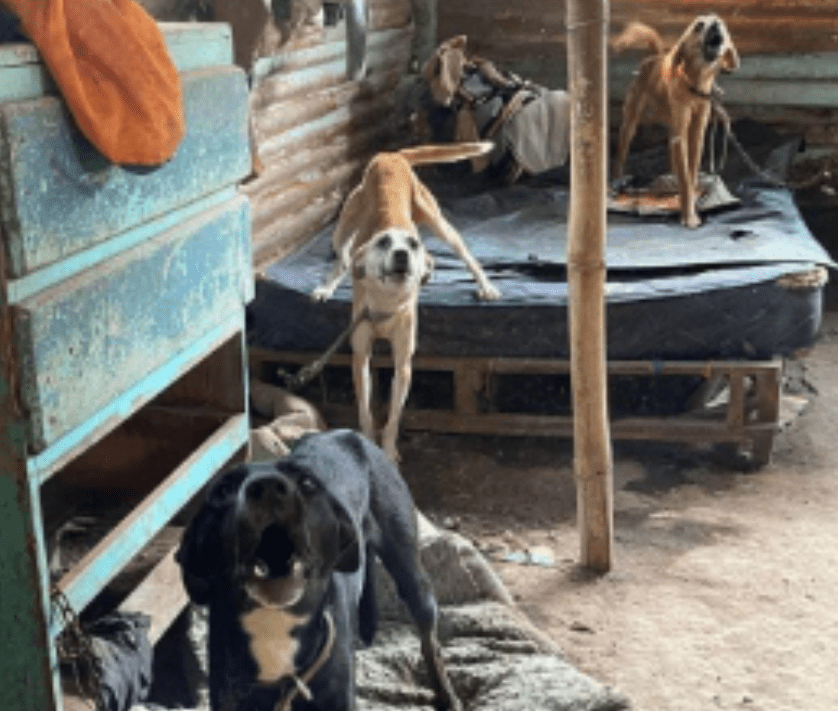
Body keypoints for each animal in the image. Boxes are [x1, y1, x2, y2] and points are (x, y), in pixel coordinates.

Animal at [612, 15, 740, 227]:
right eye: (699, 25)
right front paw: (689, 217)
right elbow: (686, 180)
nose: (715, 24)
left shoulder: (696, 136)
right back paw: (616, 182)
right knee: (620, 157)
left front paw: (691, 203)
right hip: (629, 125)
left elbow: (691, 174)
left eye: (720, 22)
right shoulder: (681, 137)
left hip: (672, 132)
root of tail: (653, 58)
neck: (695, 85)